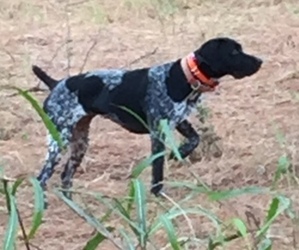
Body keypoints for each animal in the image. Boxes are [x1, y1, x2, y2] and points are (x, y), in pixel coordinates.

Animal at [32, 37, 262, 205]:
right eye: (234, 52)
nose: (260, 61)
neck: (184, 77)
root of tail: (57, 84)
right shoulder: (158, 132)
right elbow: (157, 169)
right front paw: (158, 194)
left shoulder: (179, 121)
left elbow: (194, 139)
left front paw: (179, 153)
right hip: (58, 140)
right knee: (42, 178)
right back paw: (43, 205)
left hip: (79, 143)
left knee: (65, 176)